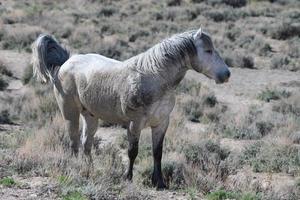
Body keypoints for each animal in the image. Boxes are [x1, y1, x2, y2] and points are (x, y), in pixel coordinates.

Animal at [32, 28, 230, 189]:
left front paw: (159, 182)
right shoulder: (135, 124)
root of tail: (67, 61)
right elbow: (132, 152)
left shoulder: (161, 124)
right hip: (70, 114)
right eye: (208, 50)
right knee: (73, 142)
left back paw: (90, 169)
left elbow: (157, 153)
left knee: (85, 143)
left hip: (91, 116)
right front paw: (127, 177)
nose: (226, 74)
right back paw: (77, 168)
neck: (154, 78)